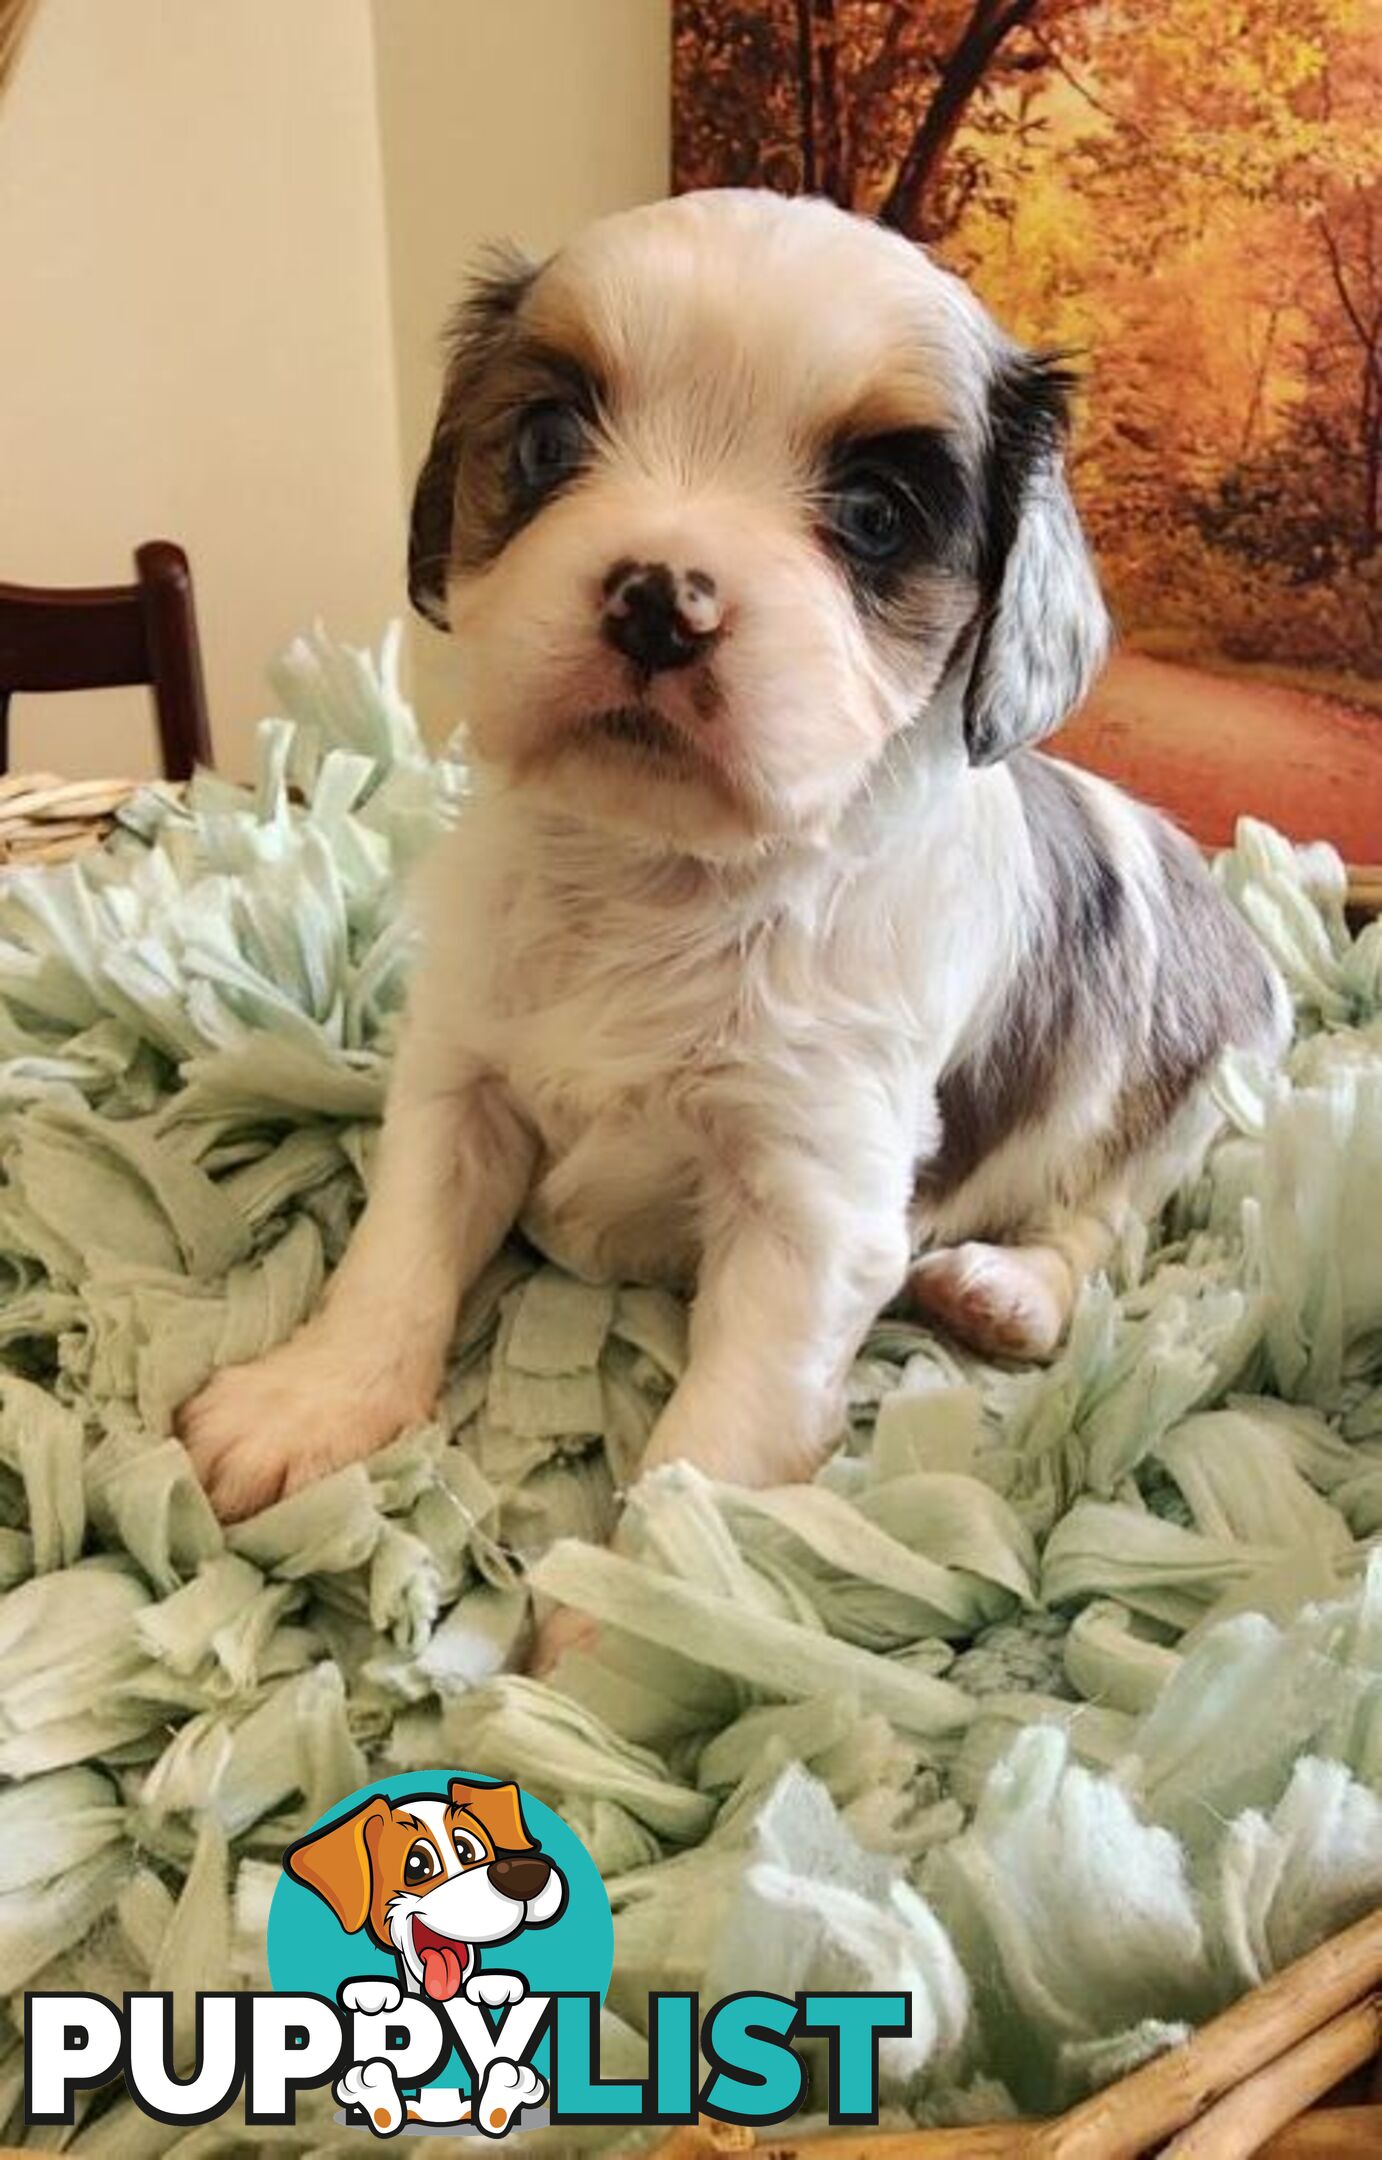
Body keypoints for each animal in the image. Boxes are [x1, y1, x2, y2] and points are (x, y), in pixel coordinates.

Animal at [178, 198, 1286, 1520]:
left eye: (873, 516)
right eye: (545, 442)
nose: (661, 598)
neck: (664, 876)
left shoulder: (808, 1209)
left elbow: (711, 1450)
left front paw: (634, 1581)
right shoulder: (458, 1082)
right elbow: (396, 1254)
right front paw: (316, 1397)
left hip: (1182, 1103)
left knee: (1099, 1225)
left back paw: (1008, 1290)